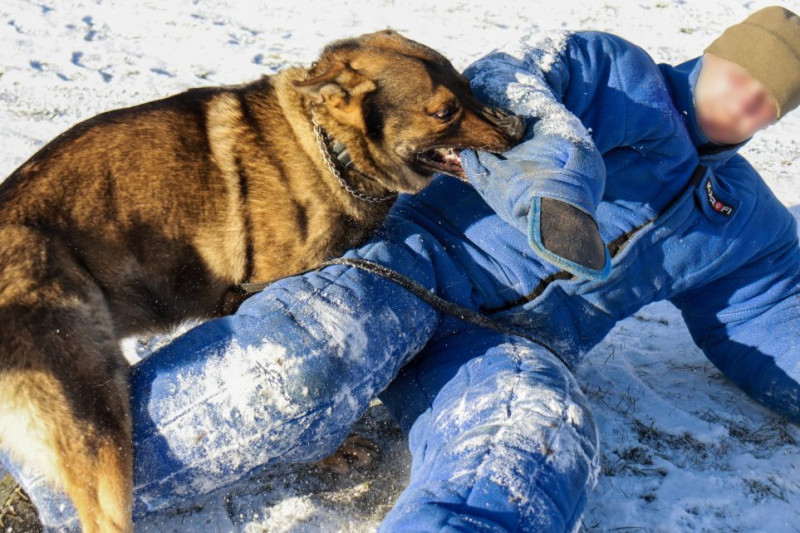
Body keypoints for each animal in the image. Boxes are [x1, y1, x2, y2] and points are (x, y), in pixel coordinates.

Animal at [0, 30, 524, 532]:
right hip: (96, 418)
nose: (520, 128)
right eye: (444, 111)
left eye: (468, 86)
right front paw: (334, 452)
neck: (329, 148)